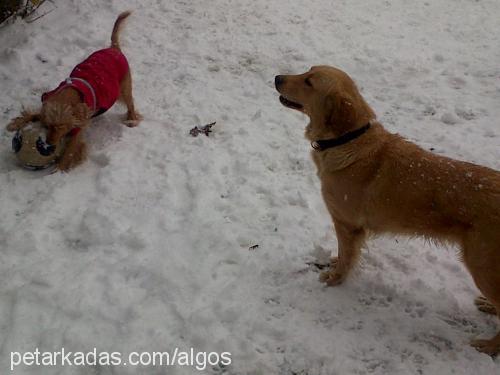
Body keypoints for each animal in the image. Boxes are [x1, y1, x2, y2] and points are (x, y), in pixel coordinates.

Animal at [4, 11, 141, 171]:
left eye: (60, 127)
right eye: (47, 125)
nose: (48, 144)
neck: (70, 92)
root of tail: (113, 48)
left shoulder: (78, 129)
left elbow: (70, 150)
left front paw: (59, 170)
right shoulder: (47, 105)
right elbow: (34, 114)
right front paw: (15, 124)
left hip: (124, 88)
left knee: (130, 103)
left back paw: (131, 119)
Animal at [276, 66, 500, 356]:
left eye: (308, 82)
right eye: (307, 70)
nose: (277, 78)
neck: (346, 139)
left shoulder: (347, 224)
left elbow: (346, 257)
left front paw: (334, 278)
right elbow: (343, 254)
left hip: (482, 265)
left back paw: (488, 346)